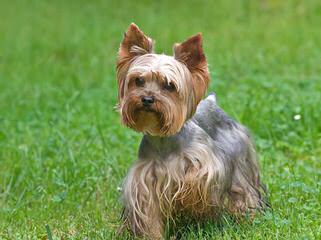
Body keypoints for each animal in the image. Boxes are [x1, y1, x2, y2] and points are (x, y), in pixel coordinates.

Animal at [116, 23, 266, 238]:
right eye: (138, 81)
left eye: (169, 85)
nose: (147, 99)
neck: (163, 140)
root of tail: (211, 101)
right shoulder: (145, 184)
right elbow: (149, 214)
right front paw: (152, 235)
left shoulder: (207, 167)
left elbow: (195, 183)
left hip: (240, 162)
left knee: (245, 192)